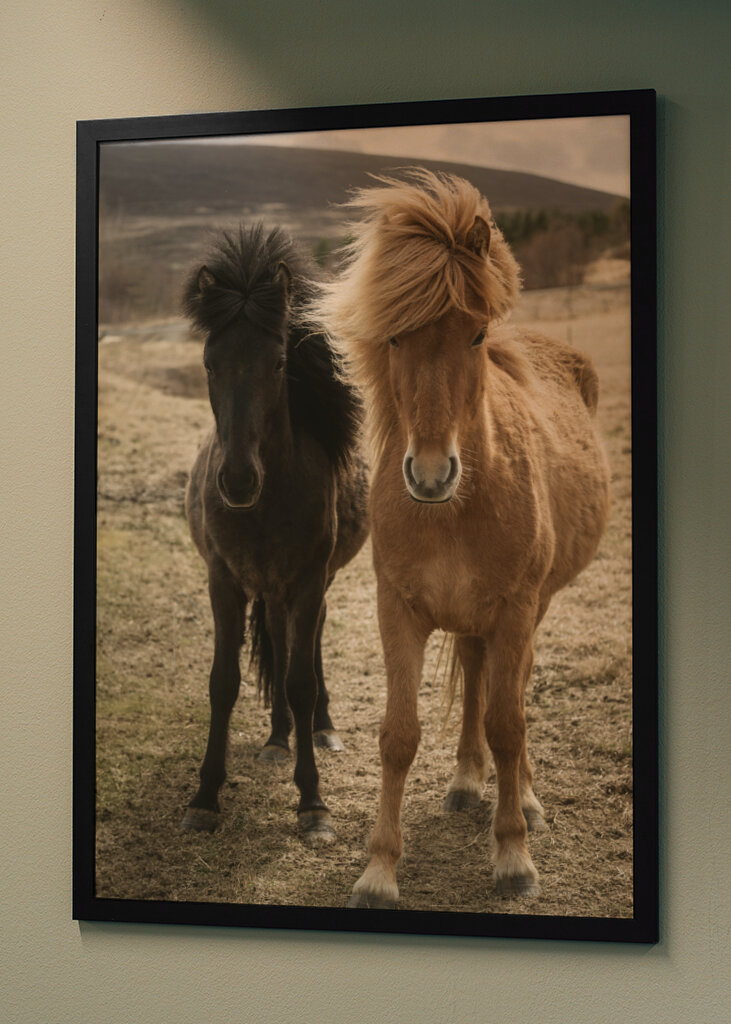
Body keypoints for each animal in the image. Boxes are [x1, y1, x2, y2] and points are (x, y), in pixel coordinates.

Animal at [181, 224, 369, 845]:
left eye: (280, 360)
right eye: (210, 361)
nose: (238, 479)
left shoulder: (308, 580)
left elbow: (302, 681)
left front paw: (313, 804)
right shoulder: (223, 582)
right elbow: (223, 683)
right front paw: (205, 798)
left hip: (310, 587)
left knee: (306, 652)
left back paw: (320, 730)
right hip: (270, 591)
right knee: (284, 646)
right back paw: (277, 738)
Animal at [310, 169, 610, 905]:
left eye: (474, 336)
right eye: (393, 339)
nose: (429, 473)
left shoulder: (516, 609)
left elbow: (508, 722)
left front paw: (513, 856)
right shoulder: (398, 610)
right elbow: (398, 734)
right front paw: (379, 869)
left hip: (533, 607)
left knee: (513, 692)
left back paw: (520, 797)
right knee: (476, 675)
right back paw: (467, 781)